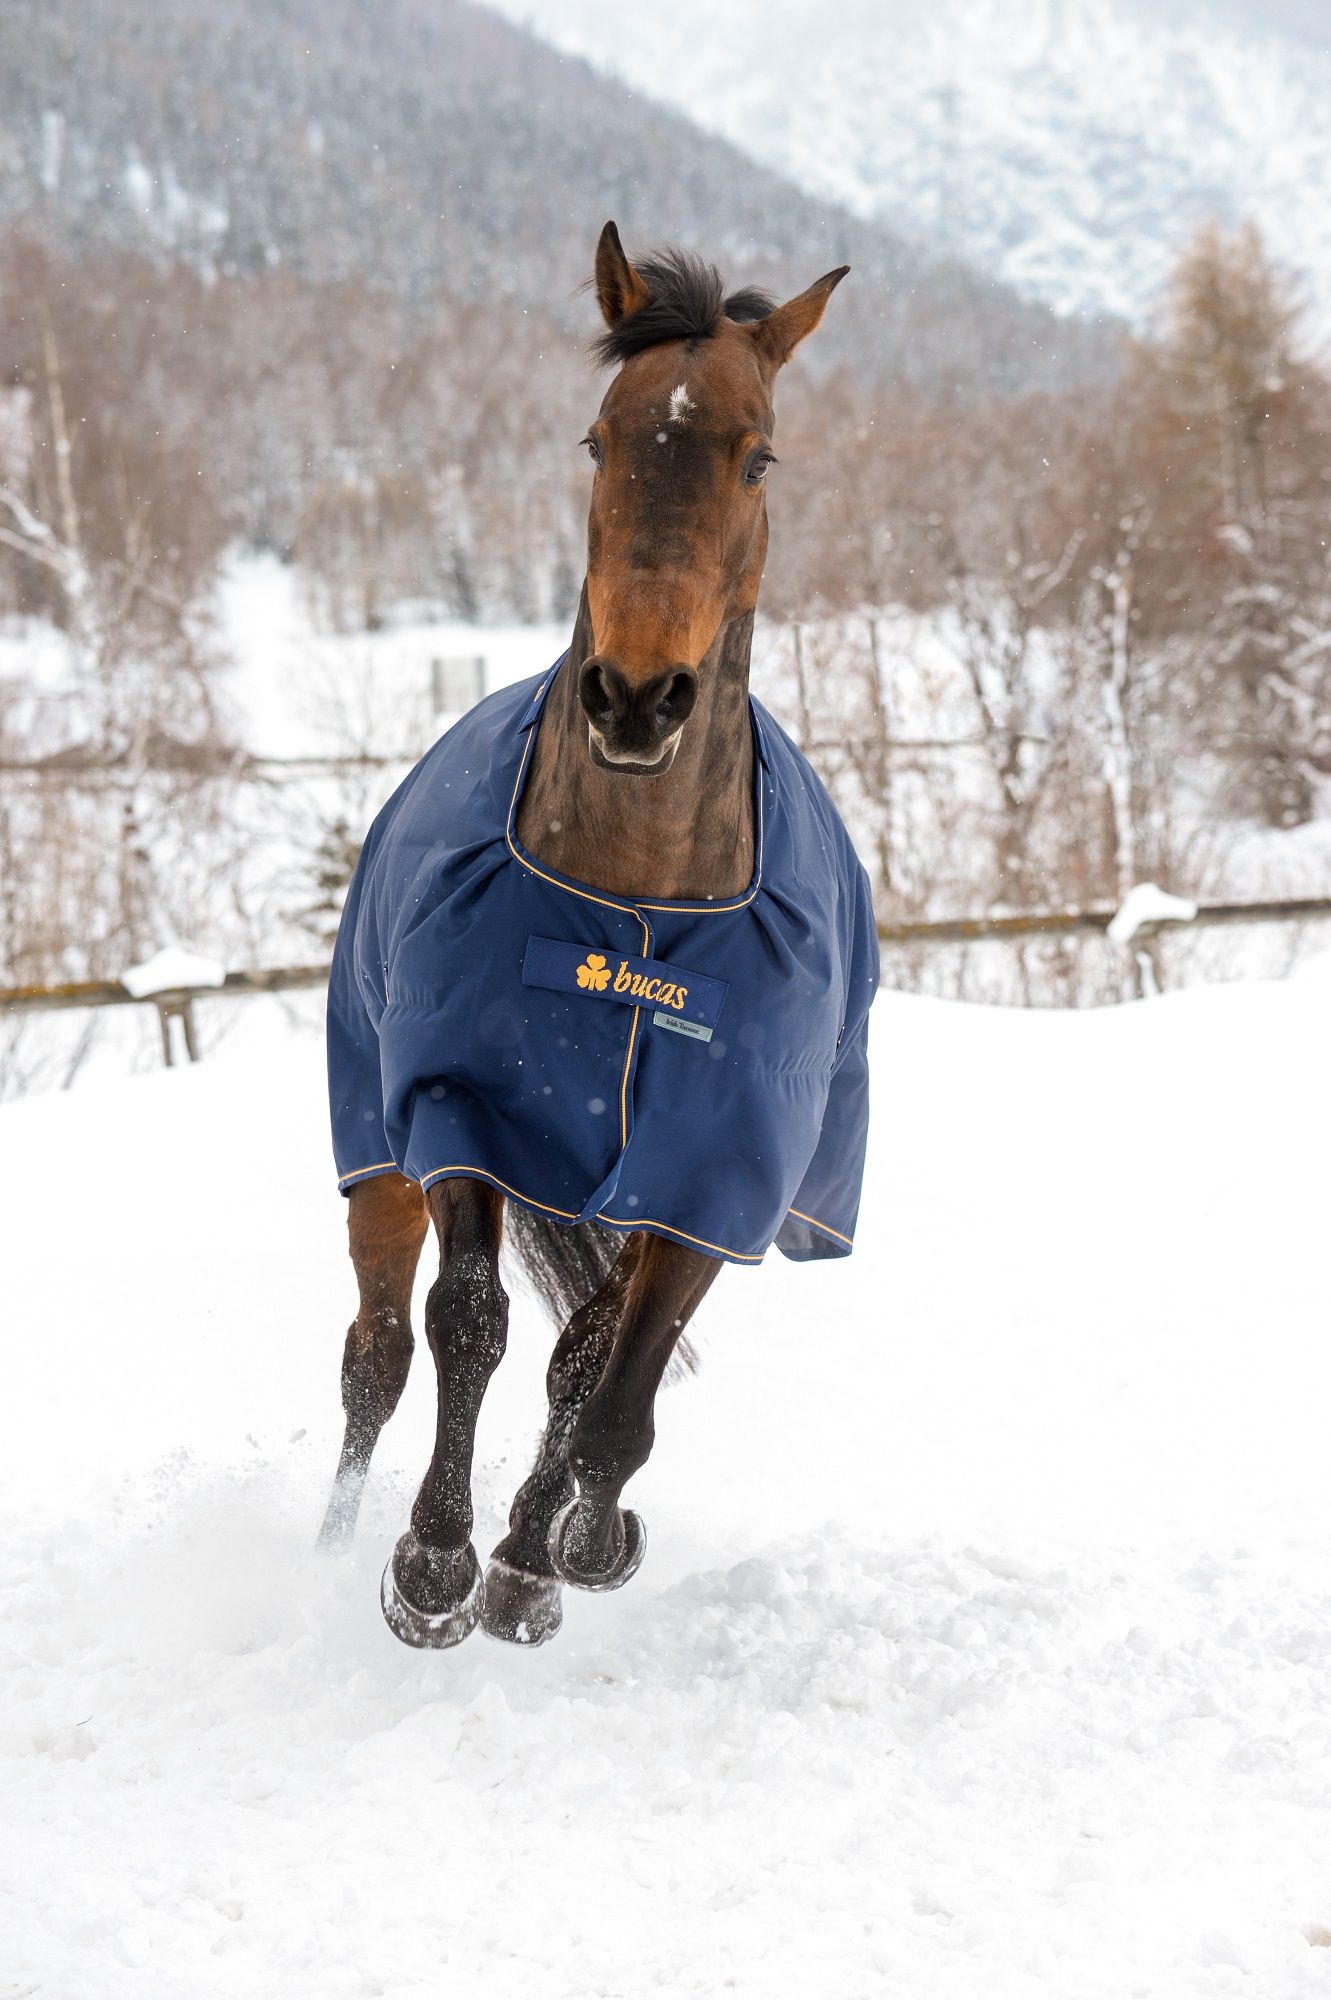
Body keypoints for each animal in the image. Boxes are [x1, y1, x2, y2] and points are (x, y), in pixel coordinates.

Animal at [319, 223, 878, 1649]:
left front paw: (551, 1549)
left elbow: (608, 1382)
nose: (633, 696)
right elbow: (467, 1322)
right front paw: (432, 1562)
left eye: (757, 453)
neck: (639, 905)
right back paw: (331, 1546)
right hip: (373, 1145)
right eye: (598, 438)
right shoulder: (460, 1107)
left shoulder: (712, 1173)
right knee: (375, 1354)